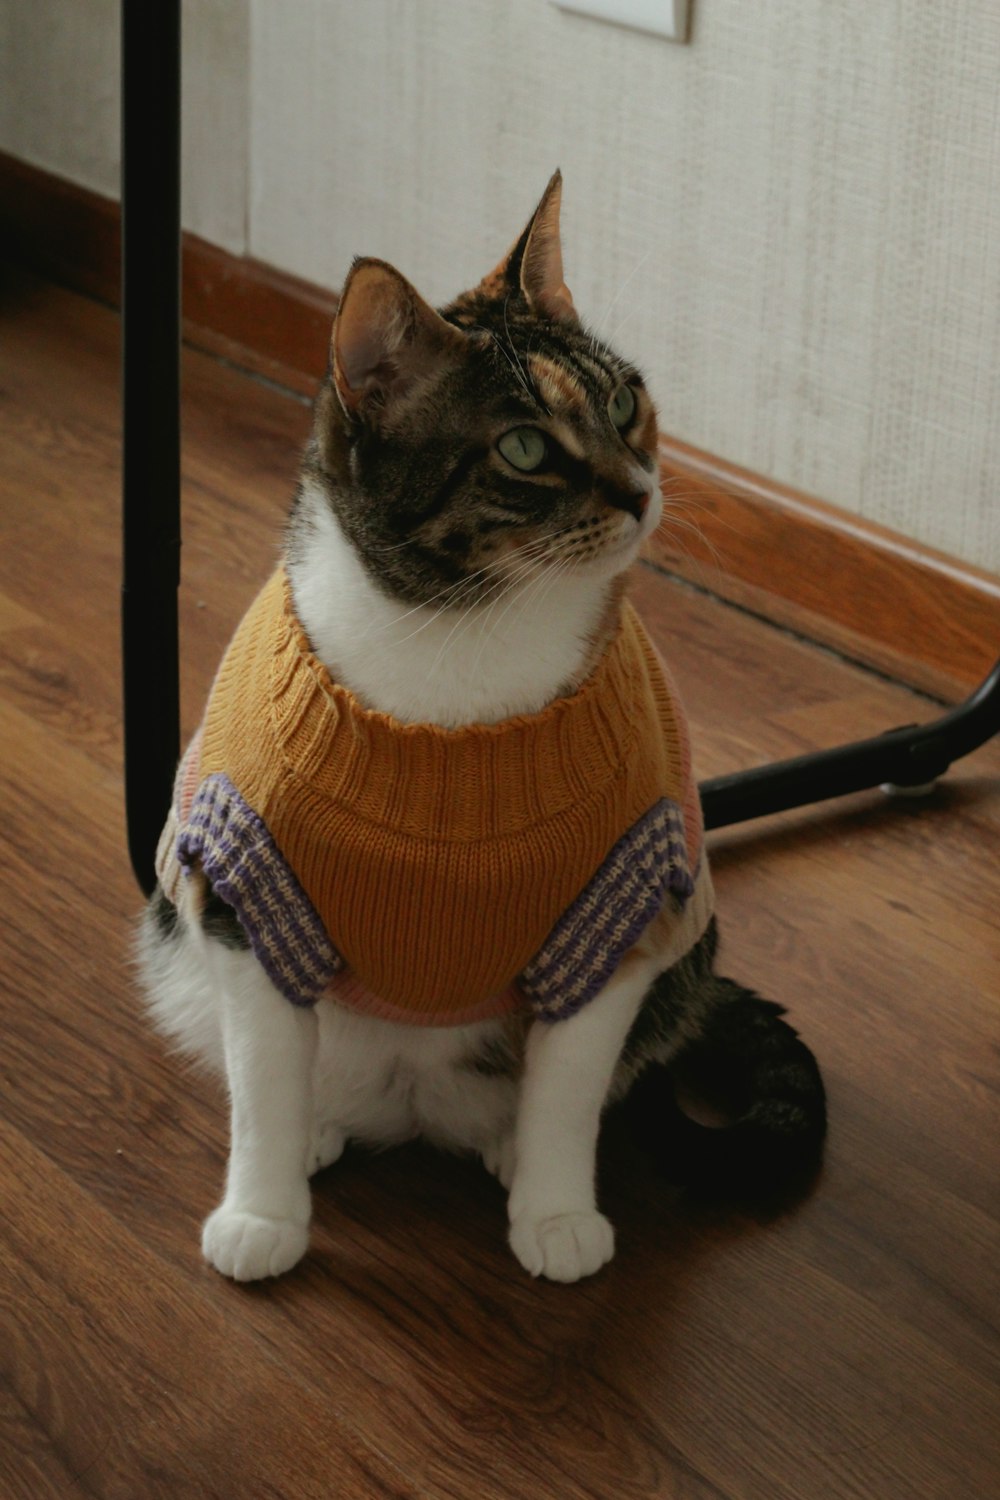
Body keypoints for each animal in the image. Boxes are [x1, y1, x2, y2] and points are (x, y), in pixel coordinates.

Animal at [140, 170, 827, 1284]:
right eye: (524, 447)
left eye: (625, 401)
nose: (641, 493)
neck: (459, 646)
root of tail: (415, 1105)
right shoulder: (245, 895)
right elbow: (265, 1084)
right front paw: (262, 1213)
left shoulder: (618, 909)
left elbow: (567, 1093)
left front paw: (555, 1213)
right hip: (175, 939)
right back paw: (326, 1128)